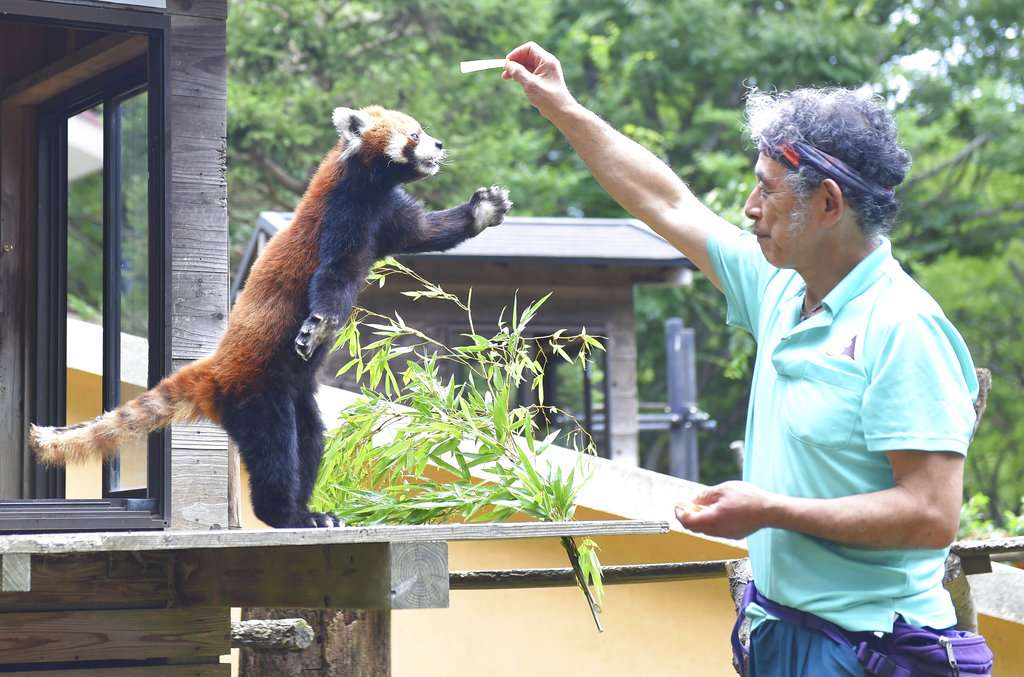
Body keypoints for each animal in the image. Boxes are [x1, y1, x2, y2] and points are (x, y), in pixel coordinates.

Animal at [30, 105, 512, 528]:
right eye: (413, 135)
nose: (438, 143)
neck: (368, 187)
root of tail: (216, 368)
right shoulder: (343, 217)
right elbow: (331, 277)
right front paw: (320, 325)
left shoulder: (388, 219)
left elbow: (428, 232)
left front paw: (484, 209)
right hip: (257, 393)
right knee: (275, 450)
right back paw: (285, 514)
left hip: (297, 394)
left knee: (310, 440)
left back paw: (311, 512)